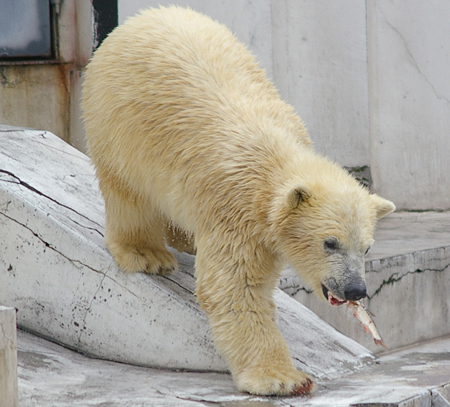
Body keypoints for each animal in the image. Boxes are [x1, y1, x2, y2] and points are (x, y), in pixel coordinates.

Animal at [82, 4, 396, 396]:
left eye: (366, 248)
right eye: (330, 242)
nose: (356, 288)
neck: (272, 155)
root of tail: (144, 16)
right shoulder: (234, 206)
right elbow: (235, 286)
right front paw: (280, 378)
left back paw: (184, 238)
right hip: (119, 125)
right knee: (129, 193)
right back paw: (146, 253)